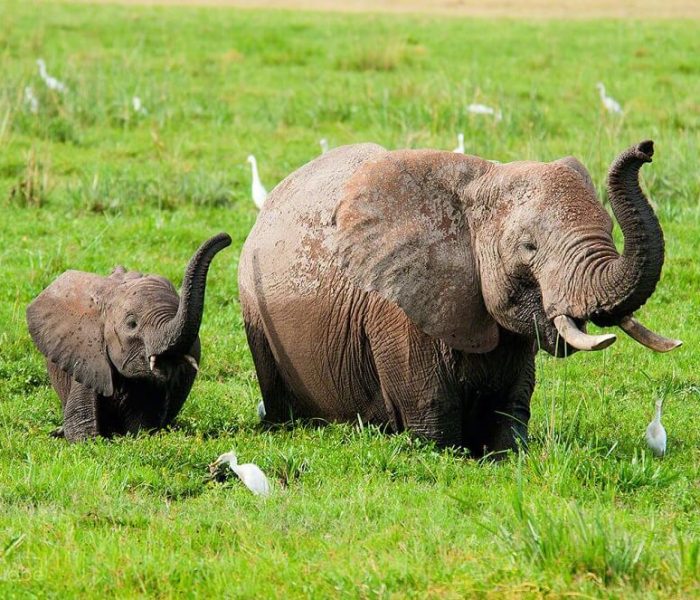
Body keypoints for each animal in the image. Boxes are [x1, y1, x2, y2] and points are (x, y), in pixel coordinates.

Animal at [238, 140, 681, 458]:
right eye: (529, 247)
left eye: (609, 228)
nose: (646, 148)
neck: (477, 182)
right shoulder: (399, 310)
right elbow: (432, 411)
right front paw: (447, 453)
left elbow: (512, 406)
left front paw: (505, 456)